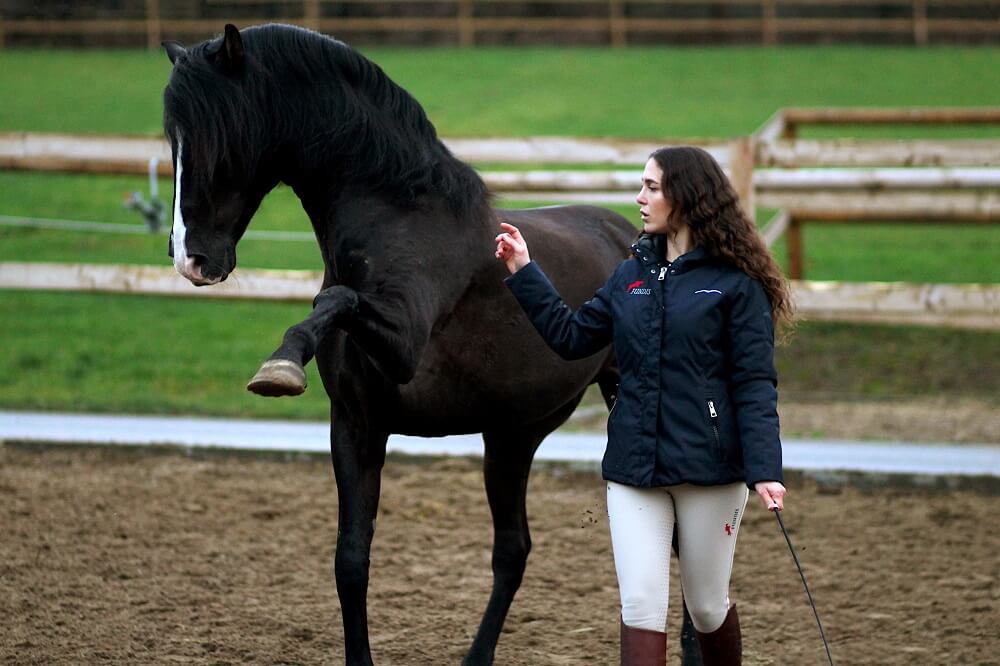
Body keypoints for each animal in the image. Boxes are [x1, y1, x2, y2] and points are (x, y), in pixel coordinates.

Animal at [160, 23, 700, 660]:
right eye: (172, 140)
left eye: (220, 135)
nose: (191, 261)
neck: (400, 221)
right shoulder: (357, 425)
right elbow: (350, 561)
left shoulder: (401, 346)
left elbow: (334, 301)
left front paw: (280, 368)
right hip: (513, 434)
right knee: (520, 550)